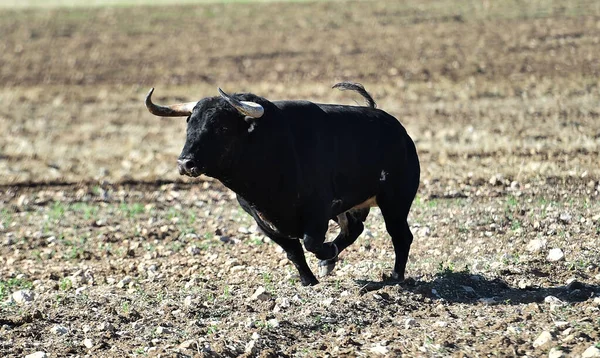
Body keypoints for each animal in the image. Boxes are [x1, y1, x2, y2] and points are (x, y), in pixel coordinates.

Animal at [145, 82, 420, 286]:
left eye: (222, 127)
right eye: (189, 124)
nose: (185, 163)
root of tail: (398, 130)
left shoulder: (318, 210)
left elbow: (311, 243)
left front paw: (327, 254)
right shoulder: (259, 217)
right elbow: (293, 250)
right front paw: (309, 279)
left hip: (395, 202)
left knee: (401, 236)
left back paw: (395, 276)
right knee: (354, 229)